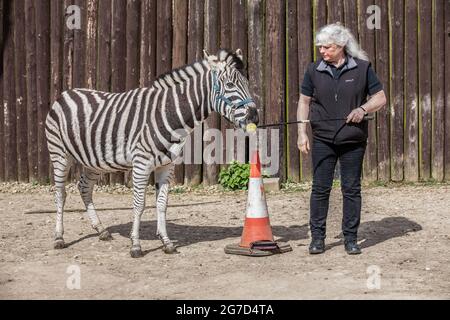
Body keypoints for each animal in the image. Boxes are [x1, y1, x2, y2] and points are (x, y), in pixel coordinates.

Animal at [45, 48, 258, 258]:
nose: (255, 116)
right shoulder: (142, 164)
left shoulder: (166, 166)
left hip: (95, 161)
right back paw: (59, 238)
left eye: (247, 83)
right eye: (230, 84)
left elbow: (162, 204)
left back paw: (101, 230)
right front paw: (136, 246)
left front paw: (166, 243)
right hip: (59, 154)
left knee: (84, 187)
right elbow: (139, 204)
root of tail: (67, 92)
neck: (168, 114)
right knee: (60, 194)